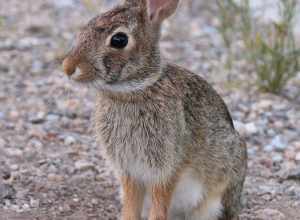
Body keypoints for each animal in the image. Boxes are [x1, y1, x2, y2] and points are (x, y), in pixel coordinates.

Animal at [62, 0, 247, 220]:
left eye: (119, 40)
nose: (68, 67)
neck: (134, 91)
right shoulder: (129, 171)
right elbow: (131, 203)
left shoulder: (166, 168)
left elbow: (160, 201)